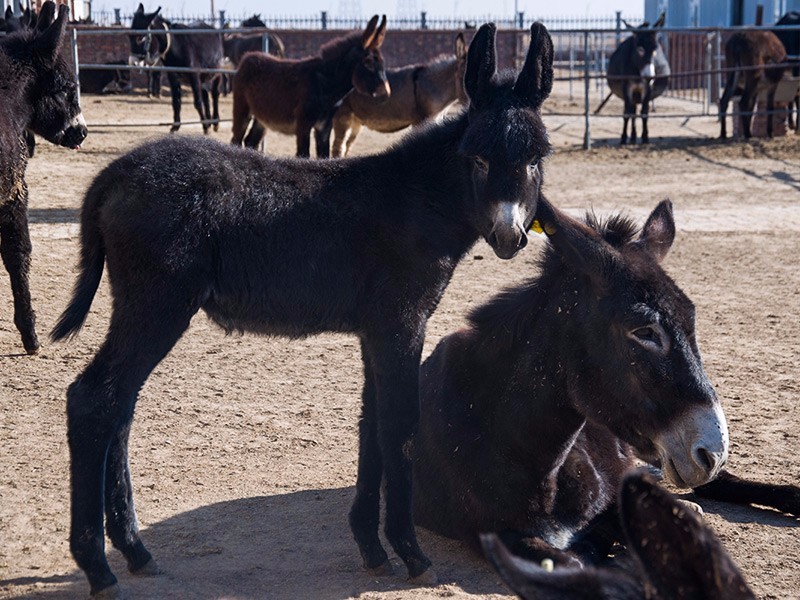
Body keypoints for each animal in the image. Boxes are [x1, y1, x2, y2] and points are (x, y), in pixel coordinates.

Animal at [51, 21, 556, 596]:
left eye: (537, 159)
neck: (416, 202)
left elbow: (370, 425)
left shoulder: (376, 331)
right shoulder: (402, 322)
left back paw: (135, 549)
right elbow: (400, 426)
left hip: (143, 307)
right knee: (94, 401)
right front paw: (411, 553)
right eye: (478, 159)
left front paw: (371, 547)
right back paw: (98, 565)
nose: (510, 236)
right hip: (157, 304)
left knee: (120, 408)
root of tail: (115, 172)